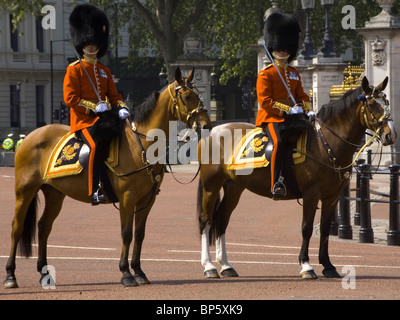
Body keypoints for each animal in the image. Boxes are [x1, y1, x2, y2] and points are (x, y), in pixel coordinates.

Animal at [3, 67, 212, 288]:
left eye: (199, 94)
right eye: (187, 96)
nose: (207, 125)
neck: (141, 144)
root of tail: (31, 136)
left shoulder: (146, 200)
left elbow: (140, 234)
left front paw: (139, 272)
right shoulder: (128, 198)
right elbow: (127, 234)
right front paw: (126, 273)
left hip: (55, 194)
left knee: (44, 227)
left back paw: (45, 273)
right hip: (24, 191)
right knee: (16, 228)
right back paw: (10, 275)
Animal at [197, 76, 396, 278]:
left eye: (386, 103)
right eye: (371, 104)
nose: (391, 135)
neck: (324, 143)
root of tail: (212, 131)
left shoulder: (332, 196)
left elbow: (324, 229)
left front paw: (328, 265)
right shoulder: (311, 194)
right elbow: (306, 228)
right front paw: (306, 265)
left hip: (234, 187)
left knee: (221, 219)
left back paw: (226, 266)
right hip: (211, 186)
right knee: (206, 220)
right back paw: (209, 267)